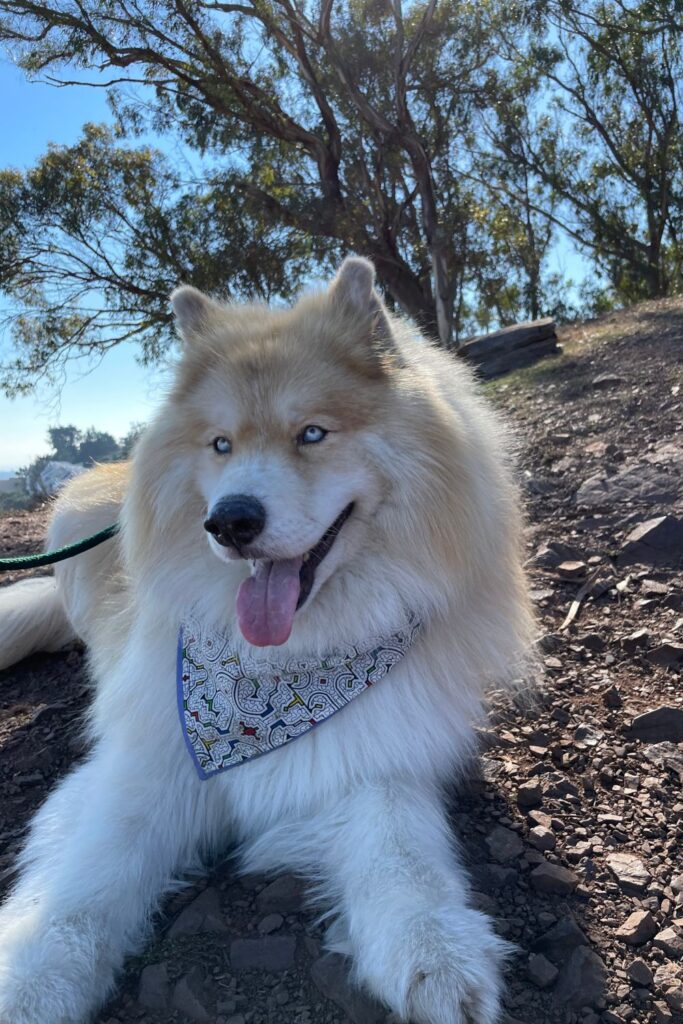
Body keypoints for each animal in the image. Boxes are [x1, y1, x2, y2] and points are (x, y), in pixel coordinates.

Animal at [0, 260, 532, 1024]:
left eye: (311, 433)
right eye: (220, 444)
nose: (229, 522)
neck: (275, 671)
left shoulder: (372, 753)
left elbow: (399, 850)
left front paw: (434, 949)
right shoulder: (149, 761)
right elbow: (86, 883)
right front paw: (32, 982)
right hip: (73, 516)